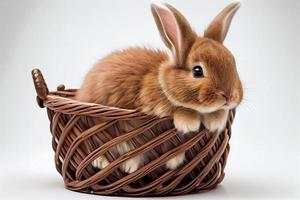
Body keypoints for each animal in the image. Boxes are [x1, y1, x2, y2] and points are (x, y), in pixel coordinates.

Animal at [75, 1, 244, 173]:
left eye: (233, 63)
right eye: (197, 71)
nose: (230, 97)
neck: (163, 82)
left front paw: (216, 121)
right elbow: (179, 110)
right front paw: (189, 122)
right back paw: (110, 163)